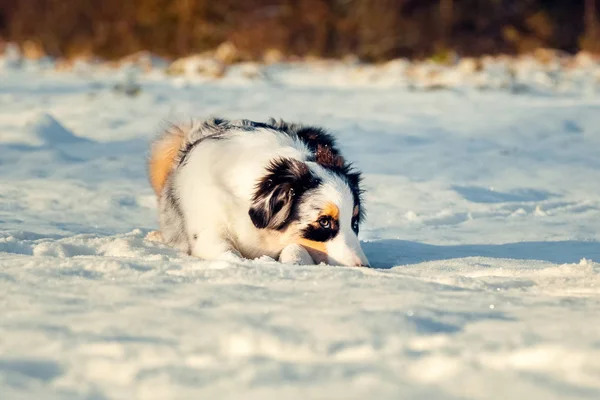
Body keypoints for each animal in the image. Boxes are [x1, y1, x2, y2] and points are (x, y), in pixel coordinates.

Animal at [148, 117, 368, 268]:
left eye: (354, 223)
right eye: (324, 222)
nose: (364, 267)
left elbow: (296, 249)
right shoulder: (208, 233)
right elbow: (227, 252)